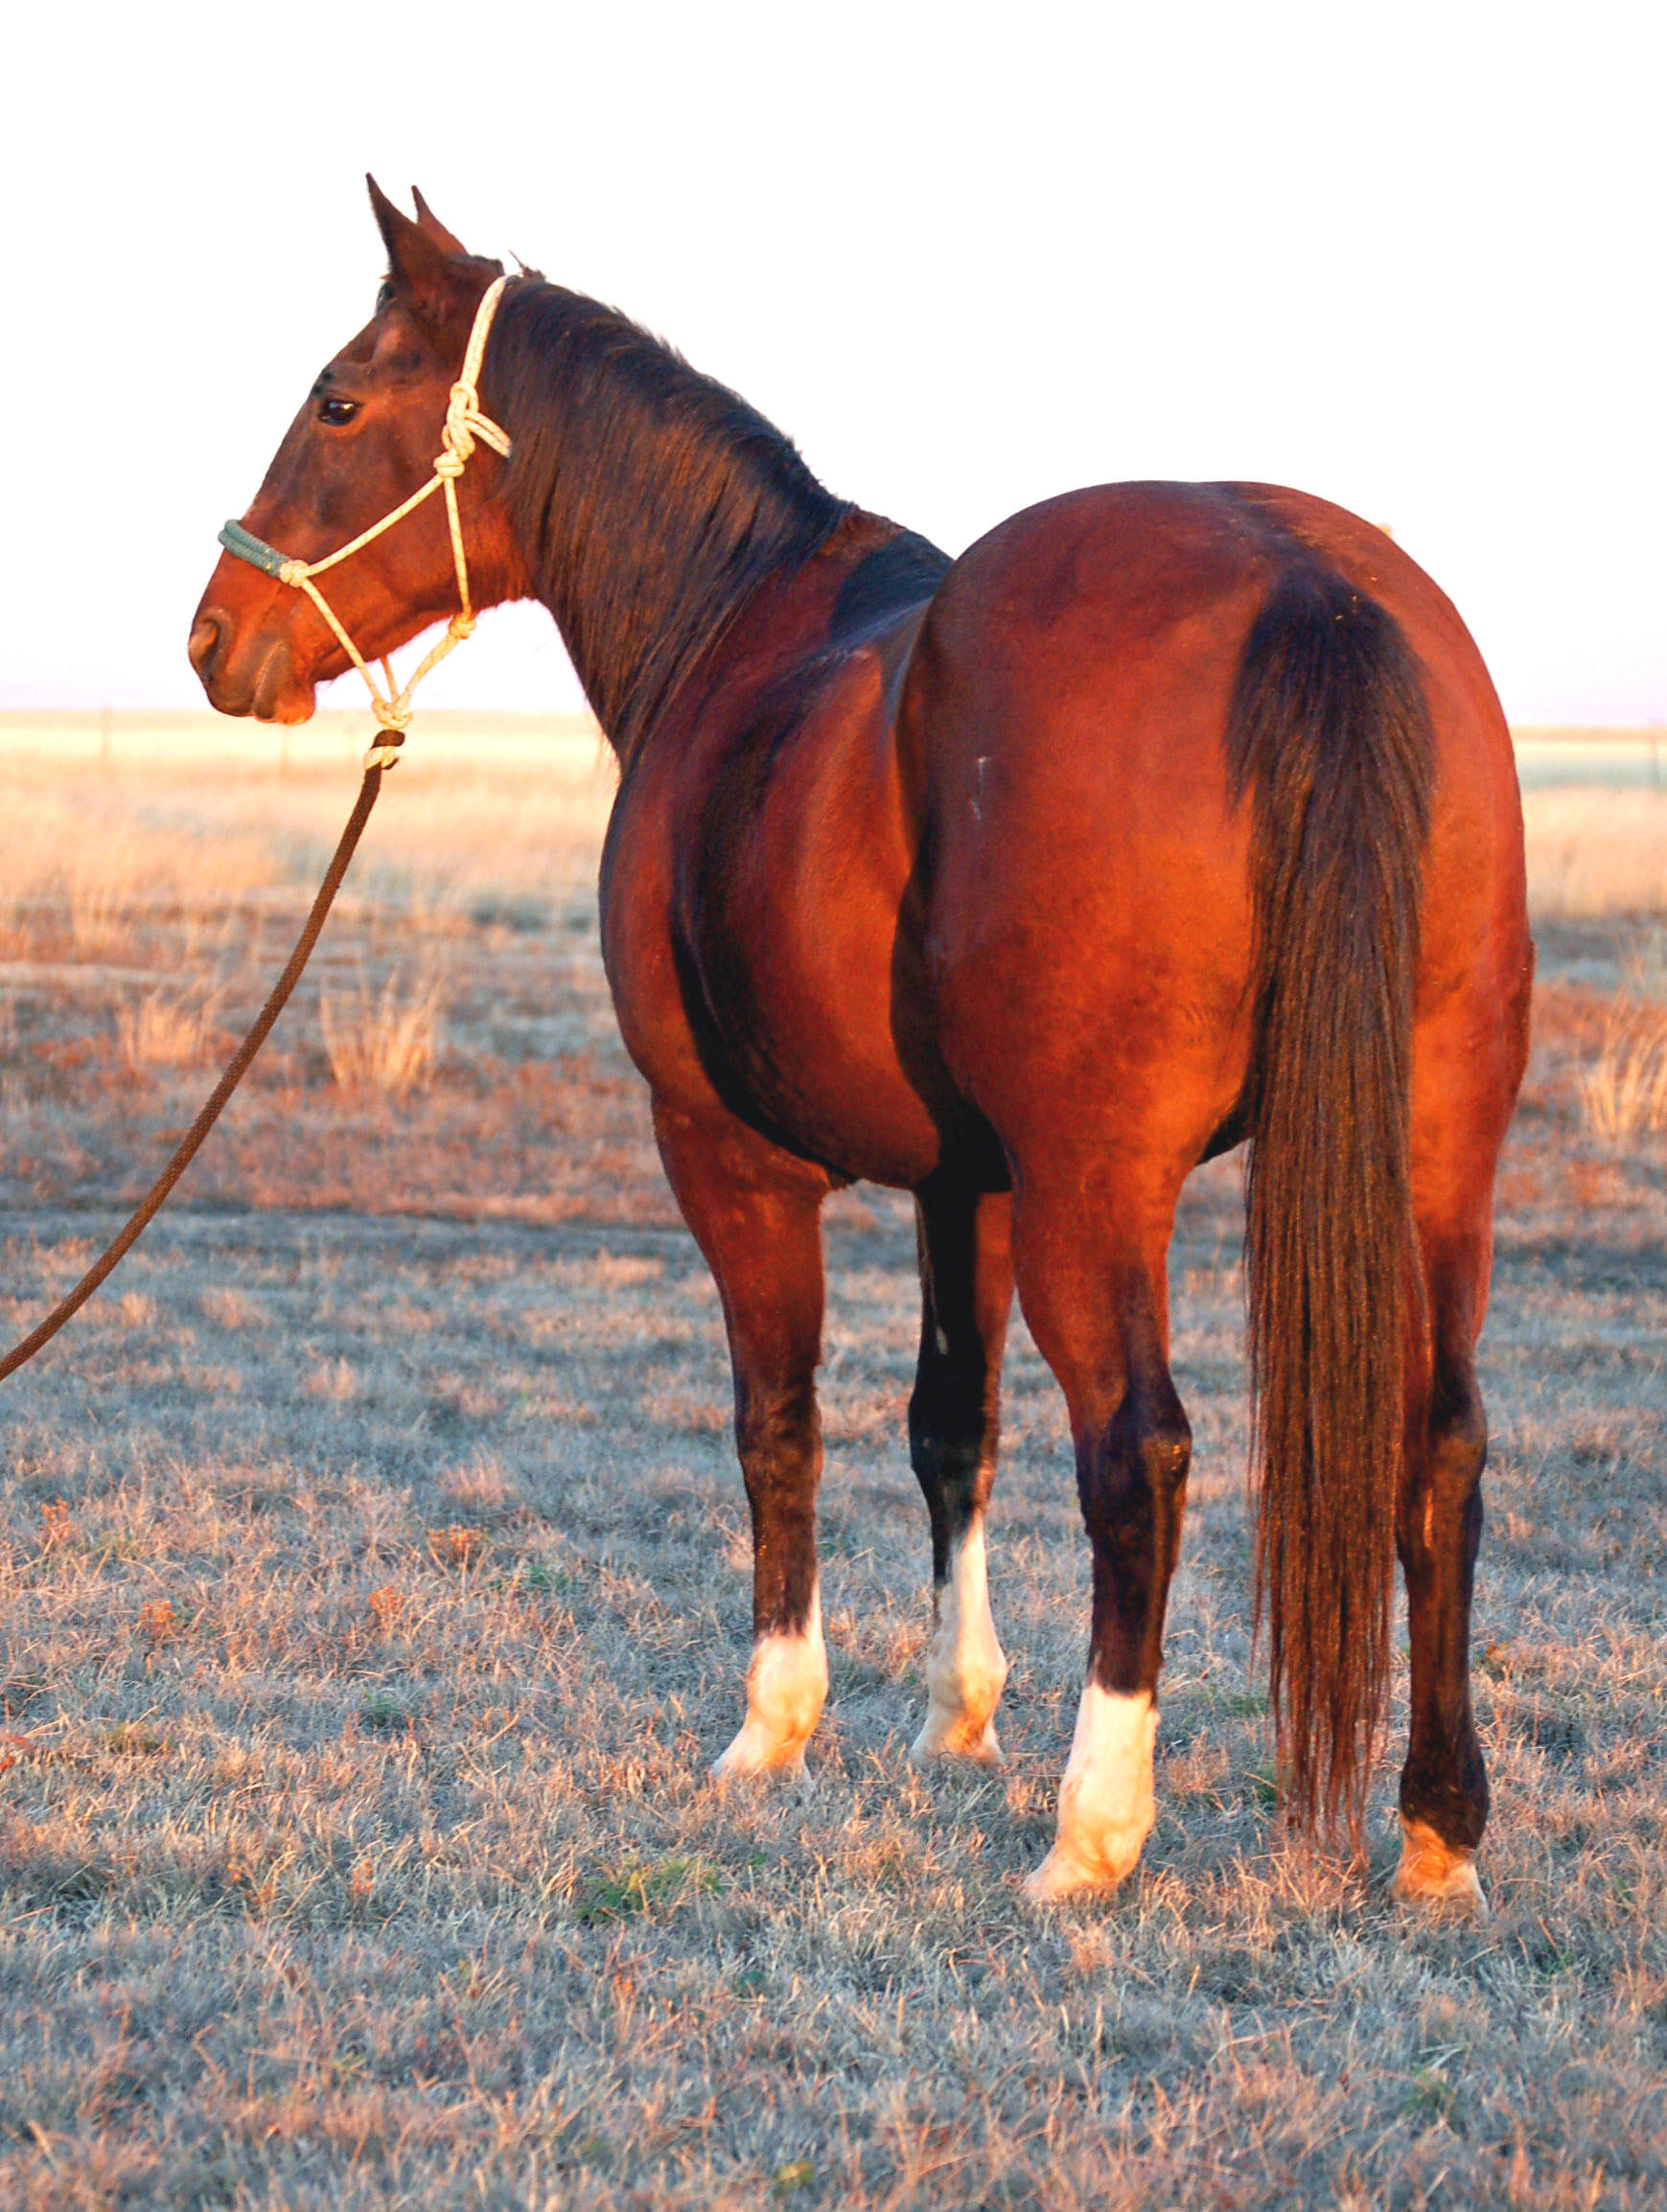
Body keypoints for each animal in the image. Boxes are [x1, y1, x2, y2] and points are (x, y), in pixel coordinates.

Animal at [188, 185, 1532, 1901]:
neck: (729, 632)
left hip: (1106, 1188)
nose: (214, 639)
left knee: (1139, 1456)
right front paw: (954, 1713)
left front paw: (772, 1727)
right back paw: (1433, 1829)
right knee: (1443, 1450)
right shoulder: (967, 1184)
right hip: (1434, 1154)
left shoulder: (728, 1158)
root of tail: (1309, 586)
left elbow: (779, 1425)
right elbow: (949, 1427)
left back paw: (1091, 1834)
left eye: (339, 401)